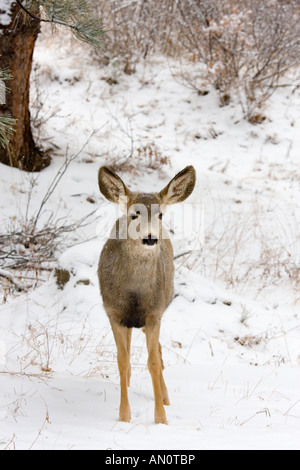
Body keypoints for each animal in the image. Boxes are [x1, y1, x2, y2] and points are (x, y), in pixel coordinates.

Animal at [97, 166, 196, 426]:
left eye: (160, 215)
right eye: (134, 215)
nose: (150, 238)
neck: (135, 295)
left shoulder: (154, 314)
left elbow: (153, 362)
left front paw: (161, 418)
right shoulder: (114, 313)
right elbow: (121, 361)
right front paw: (124, 416)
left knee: (159, 353)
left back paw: (165, 396)